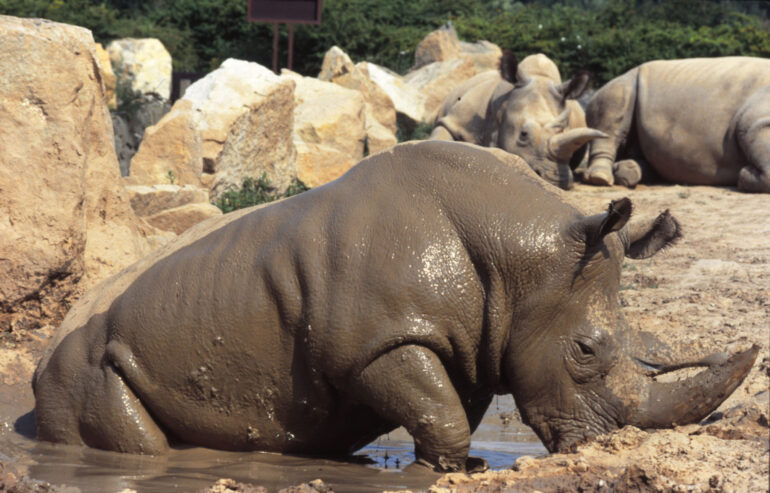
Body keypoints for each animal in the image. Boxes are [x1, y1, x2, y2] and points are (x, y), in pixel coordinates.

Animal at [34, 141, 758, 472]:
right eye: (585, 351)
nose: (607, 446)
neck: (523, 260)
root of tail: (42, 358)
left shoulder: (470, 343)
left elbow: (447, 411)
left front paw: (453, 468)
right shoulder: (379, 341)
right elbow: (440, 413)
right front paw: (445, 469)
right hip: (83, 368)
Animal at [584, 57, 770, 193]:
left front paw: (743, 175)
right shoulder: (757, 122)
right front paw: (743, 177)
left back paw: (628, 172)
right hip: (624, 81)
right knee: (615, 102)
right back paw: (600, 179)